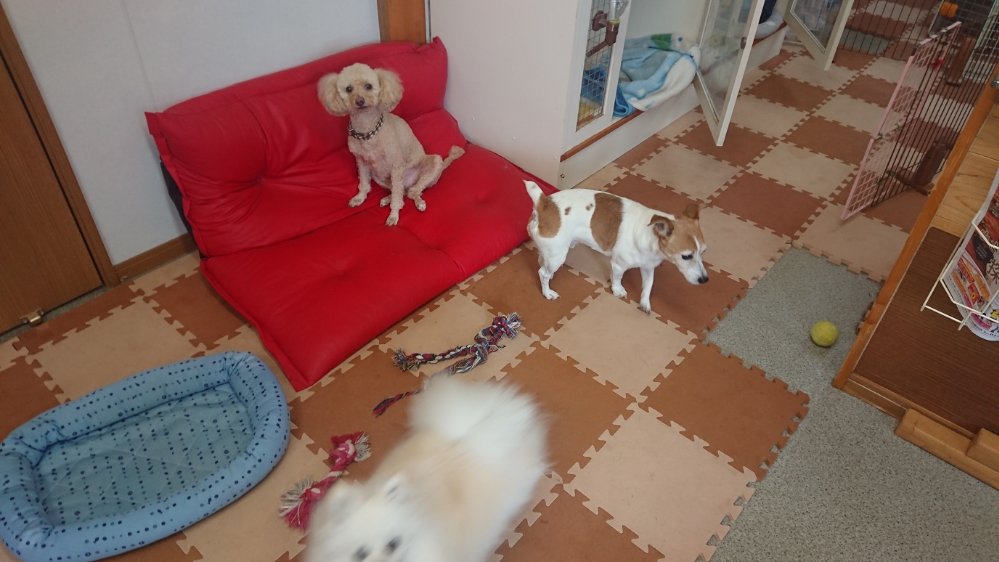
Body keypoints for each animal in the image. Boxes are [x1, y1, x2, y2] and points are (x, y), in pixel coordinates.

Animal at [318, 63, 464, 226]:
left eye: (368, 86)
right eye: (348, 89)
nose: (360, 101)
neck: (367, 130)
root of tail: (409, 182)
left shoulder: (396, 166)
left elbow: (397, 198)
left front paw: (393, 215)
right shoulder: (362, 162)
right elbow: (364, 184)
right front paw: (360, 198)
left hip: (432, 165)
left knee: (412, 192)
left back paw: (419, 202)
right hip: (379, 176)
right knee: (402, 191)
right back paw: (387, 199)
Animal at [525, 180, 708, 314]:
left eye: (703, 252)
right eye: (686, 256)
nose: (705, 280)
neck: (649, 236)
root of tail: (544, 203)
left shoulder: (648, 267)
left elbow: (648, 285)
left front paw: (645, 303)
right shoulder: (619, 264)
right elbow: (618, 278)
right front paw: (618, 290)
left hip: (552, 252)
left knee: (542, 262)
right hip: (558, 255)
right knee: (542, 273)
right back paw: (547, 292)